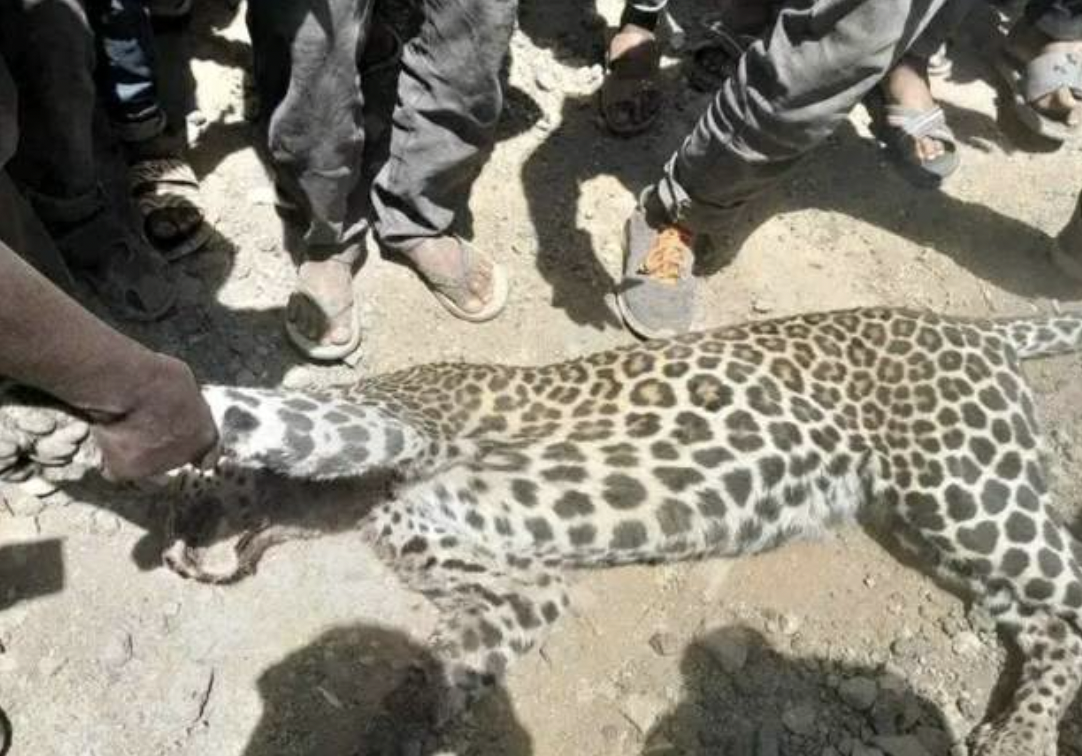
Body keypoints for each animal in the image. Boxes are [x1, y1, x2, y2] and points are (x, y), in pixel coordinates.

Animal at [5, 306, 1082, 755]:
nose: (183, 535)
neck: (338, 507)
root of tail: (971, 325)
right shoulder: (521, 583)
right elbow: (450, 668)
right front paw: (403, 730)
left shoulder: (390, 421)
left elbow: (261, 409)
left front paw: (71, 425)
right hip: (937, 519)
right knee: (1044, 617)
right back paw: (1013, 728)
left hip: (968, 487)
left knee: (1067, 594)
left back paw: (1025, 735)